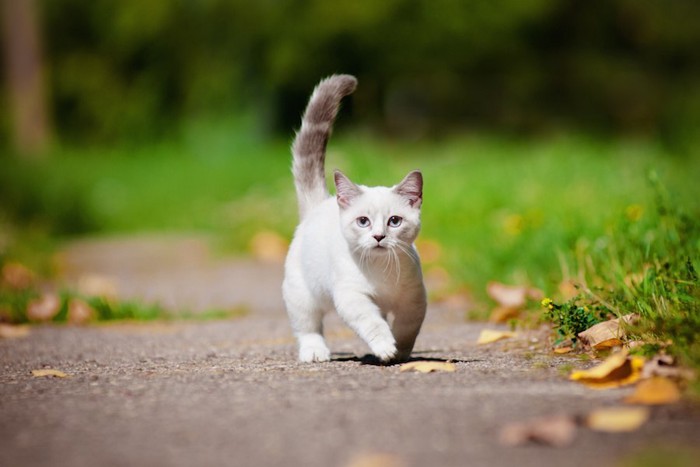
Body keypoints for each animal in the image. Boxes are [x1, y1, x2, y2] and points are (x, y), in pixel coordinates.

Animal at [280, 75, 424, 364]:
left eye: (394, 221)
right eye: (363, 221)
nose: (378, 236)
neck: (382, 274)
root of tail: (320, 203)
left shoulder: (414, 299)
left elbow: (407, 326)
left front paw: (400, 351)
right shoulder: (351, 297)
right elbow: (373, 323)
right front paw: (385, 347)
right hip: (301, 293)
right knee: (308, 327)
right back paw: (315, 352)